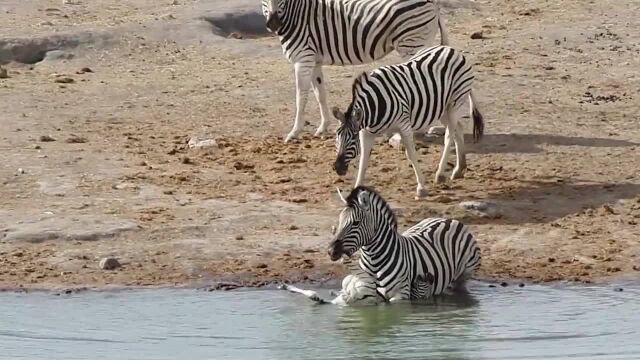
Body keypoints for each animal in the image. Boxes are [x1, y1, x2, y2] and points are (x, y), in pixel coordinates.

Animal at [262, 0, 450, 142]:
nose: (273, 24)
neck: (296, 15)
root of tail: (432, 2)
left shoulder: (303, 59)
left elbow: (301, 97)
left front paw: (294, 132)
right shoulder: (314, 61)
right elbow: (320, 94)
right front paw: (323, 127)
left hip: (412, 45)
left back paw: (416, 131)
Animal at [324, 186, 480, 300]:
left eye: (356, 223)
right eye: (339, 221)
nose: (331, 251)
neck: (374, 260)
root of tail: (449, 220)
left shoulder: (400, 296)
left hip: (465, 274)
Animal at [330, 44, 484, 200]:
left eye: (353, 138)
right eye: (337, 136)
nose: (337, 167)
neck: (374, 109)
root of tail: (449, 48)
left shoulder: (404, 126)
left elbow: (411, 155)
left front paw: (421, 188)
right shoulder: (366, 133)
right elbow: (363, 160)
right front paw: (357, 188)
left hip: (454, 102)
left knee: (449, 135)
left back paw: (440, 174)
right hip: (442, 108)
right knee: (459, 127)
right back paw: (459, 169)